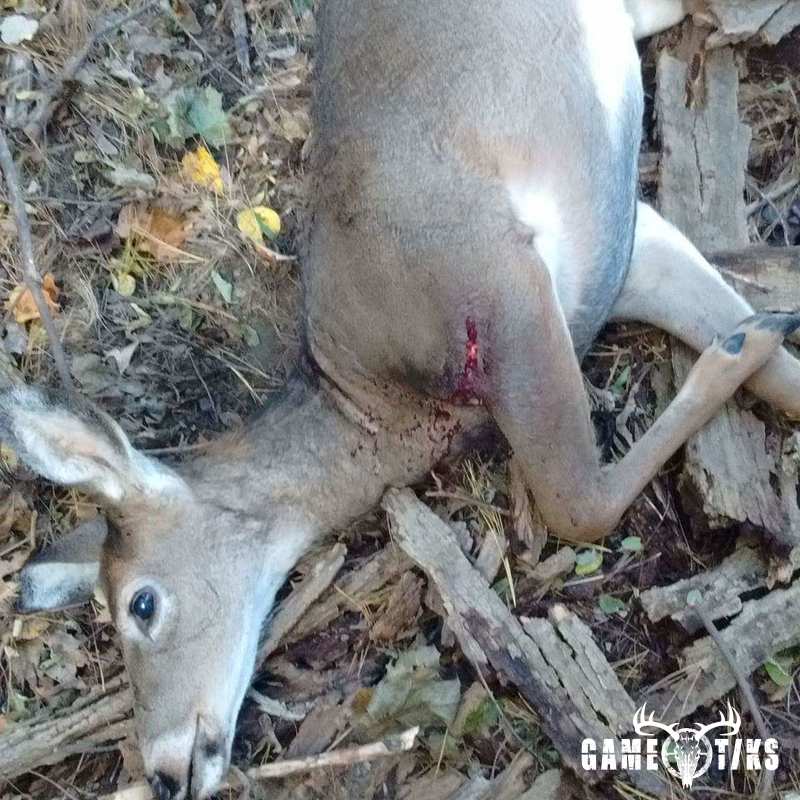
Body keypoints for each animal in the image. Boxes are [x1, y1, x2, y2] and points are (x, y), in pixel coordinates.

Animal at [2, 1, 799, 798]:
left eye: (142, 604)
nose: (166, 770)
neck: (378, 401)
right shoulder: (615, 252)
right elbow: (772, 373)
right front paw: (756, 336)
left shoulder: (492, 274)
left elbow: (577, 505)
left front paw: (741, 343)